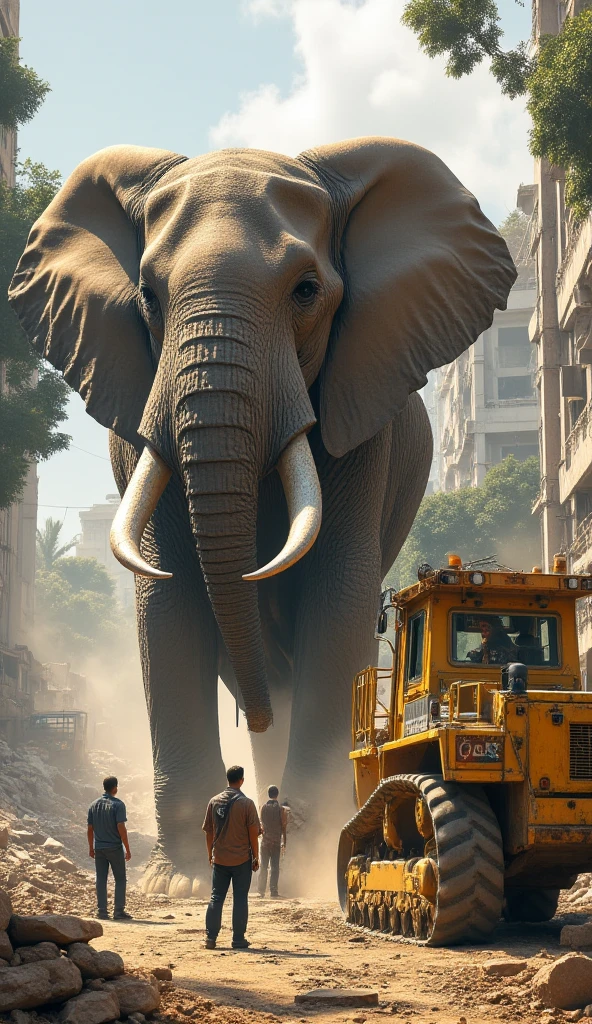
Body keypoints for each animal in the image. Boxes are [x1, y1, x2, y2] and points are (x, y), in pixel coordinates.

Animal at [11, 138, 514, 897]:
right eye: (148, 296)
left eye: (306, 291)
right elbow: (166, 600)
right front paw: (181, 885)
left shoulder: (364, 423)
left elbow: (339, 594)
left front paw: (310, 861)